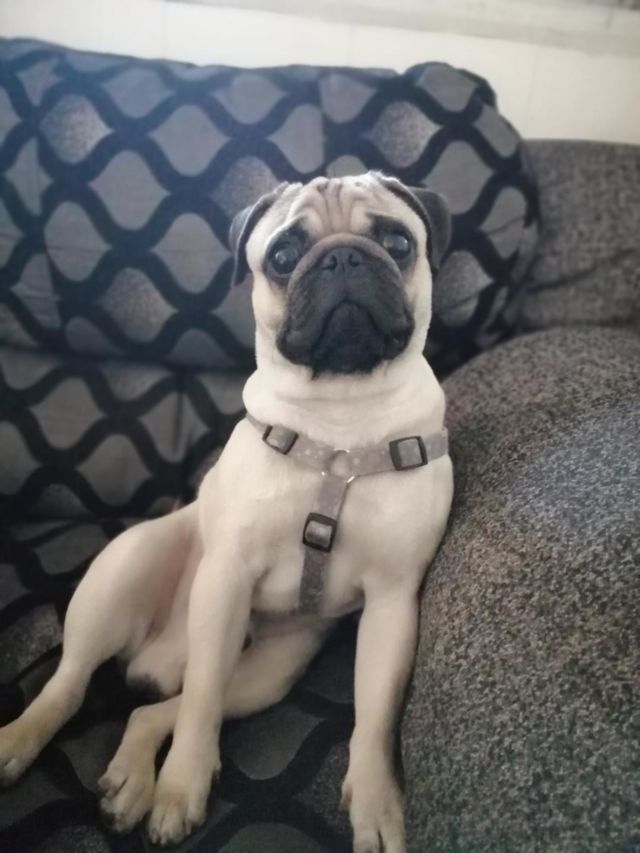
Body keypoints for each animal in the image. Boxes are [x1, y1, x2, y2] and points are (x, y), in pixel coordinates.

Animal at [0, 172, 454, 852]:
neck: (342, 421)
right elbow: (201, 705)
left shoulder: (392, 603)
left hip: (269, 674)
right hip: (124, 572)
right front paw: (183, 787)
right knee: (75, 683)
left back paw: (130, 781)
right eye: (284, 256)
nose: (344, 258)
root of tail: (155, 659)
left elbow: (373, 717)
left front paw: (377, 804)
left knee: (152, 709)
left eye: (398, 243)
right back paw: (20, 743)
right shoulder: (227, 579)